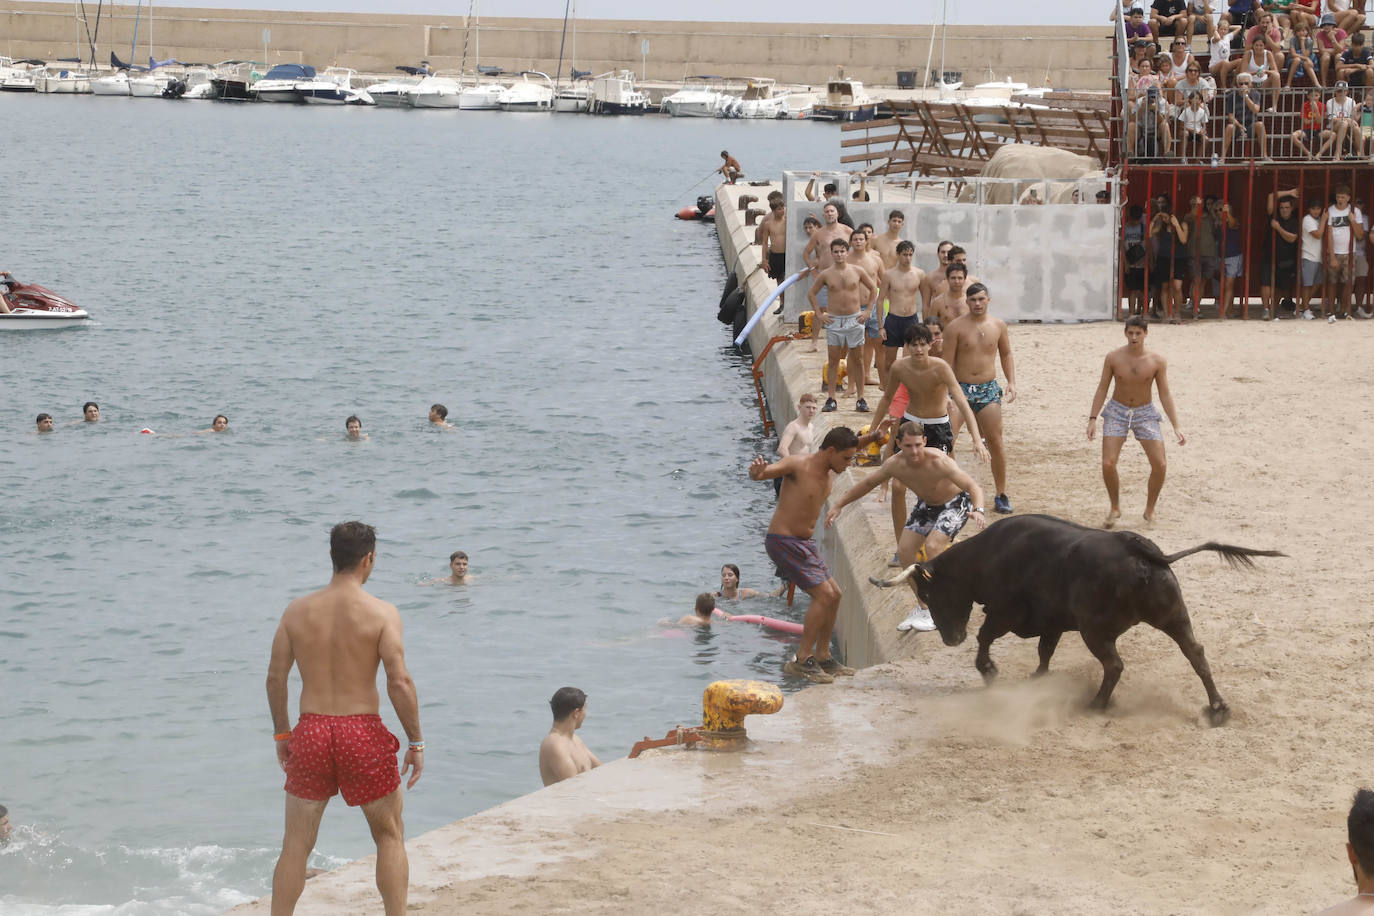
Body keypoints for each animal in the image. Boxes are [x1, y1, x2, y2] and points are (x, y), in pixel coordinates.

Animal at [868, 516, 1286, 725]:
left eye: (929, 595)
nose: (950, 638)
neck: (988, 555)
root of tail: (1142, 551)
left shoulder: (1004, 613)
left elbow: (986, 639)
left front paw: (989, 672)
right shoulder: (1051, 622)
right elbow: (1044, 652)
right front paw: (1037, 680)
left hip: (1095, 630)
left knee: (1115, 665)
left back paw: (1096, 704)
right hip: (1173, 615)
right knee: (1195, 653)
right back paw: (1218, 708)